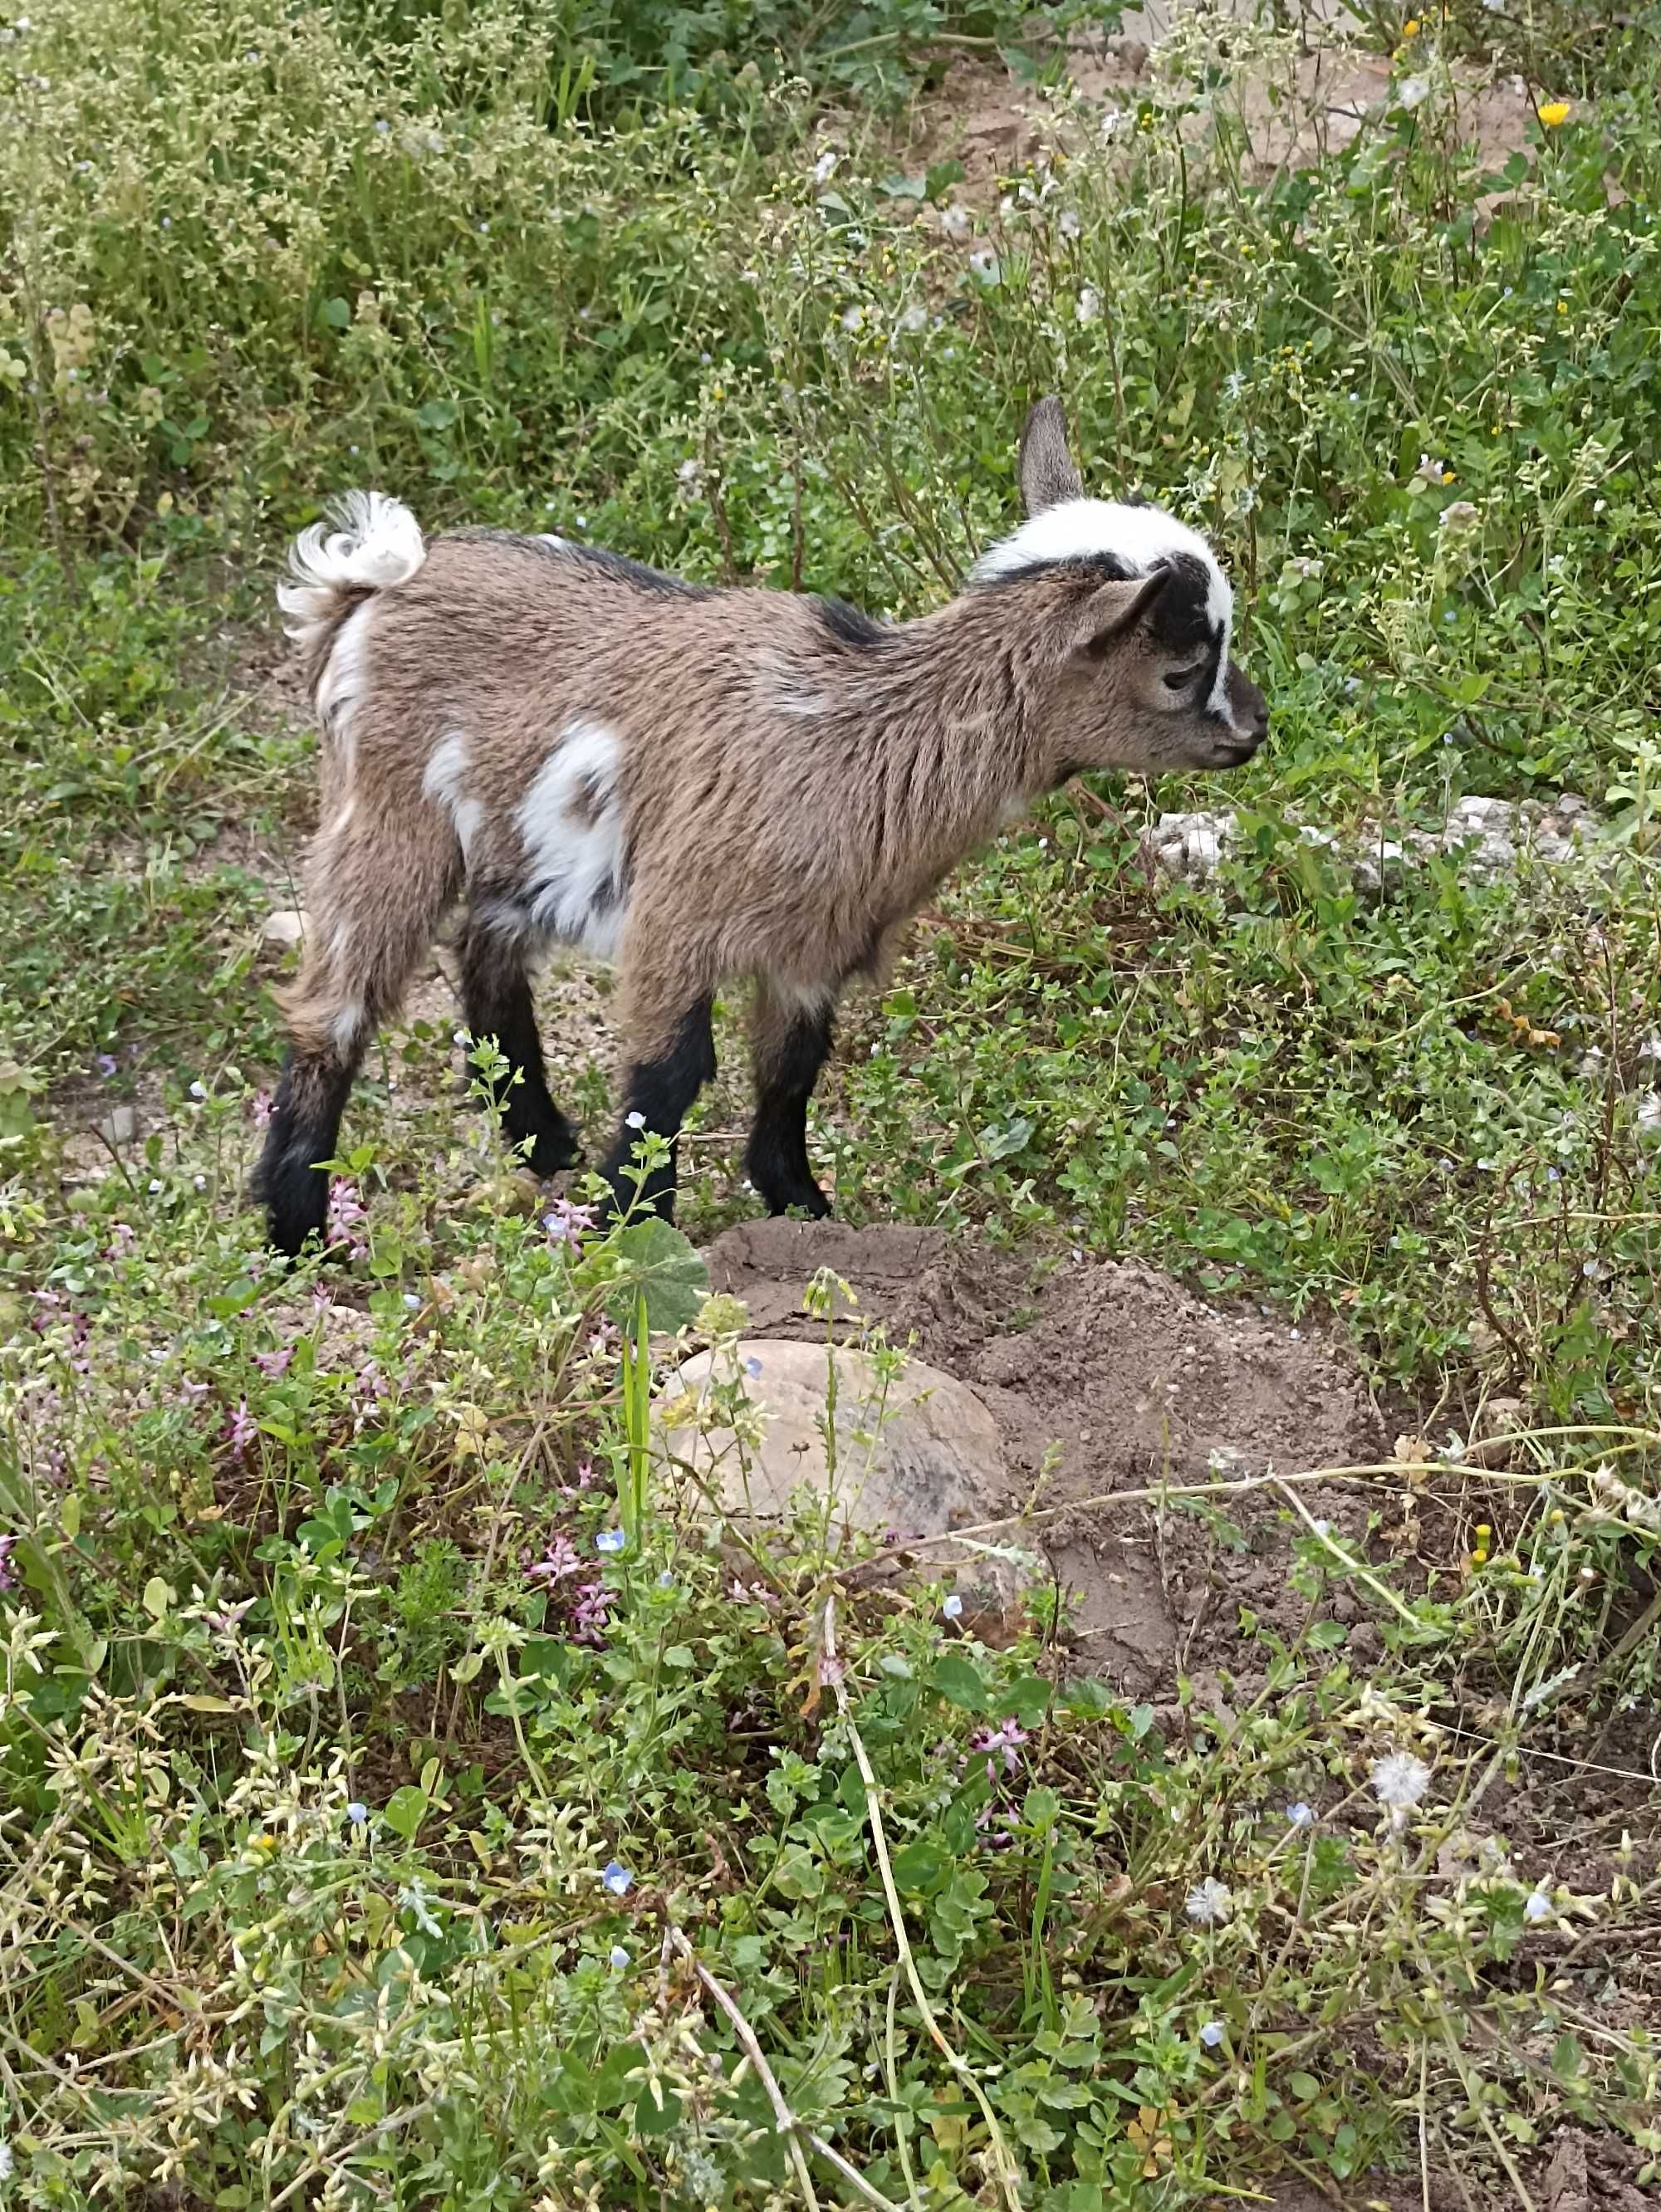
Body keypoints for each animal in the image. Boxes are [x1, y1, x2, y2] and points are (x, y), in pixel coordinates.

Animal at [256, 400, 1273, 1256]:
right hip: (386, 809)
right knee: (336, 1001)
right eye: (1182, 669)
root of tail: (369, 592)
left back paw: (540, 1141)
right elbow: (666, 1080)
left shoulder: (816, 944)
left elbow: (790, 1074)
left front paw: (807, 1213)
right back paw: (296, 1230)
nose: (1255, 729)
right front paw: (633, 1235)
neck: (861, 736)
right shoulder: (676, 919)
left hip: (519, 837)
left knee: (484, 947)